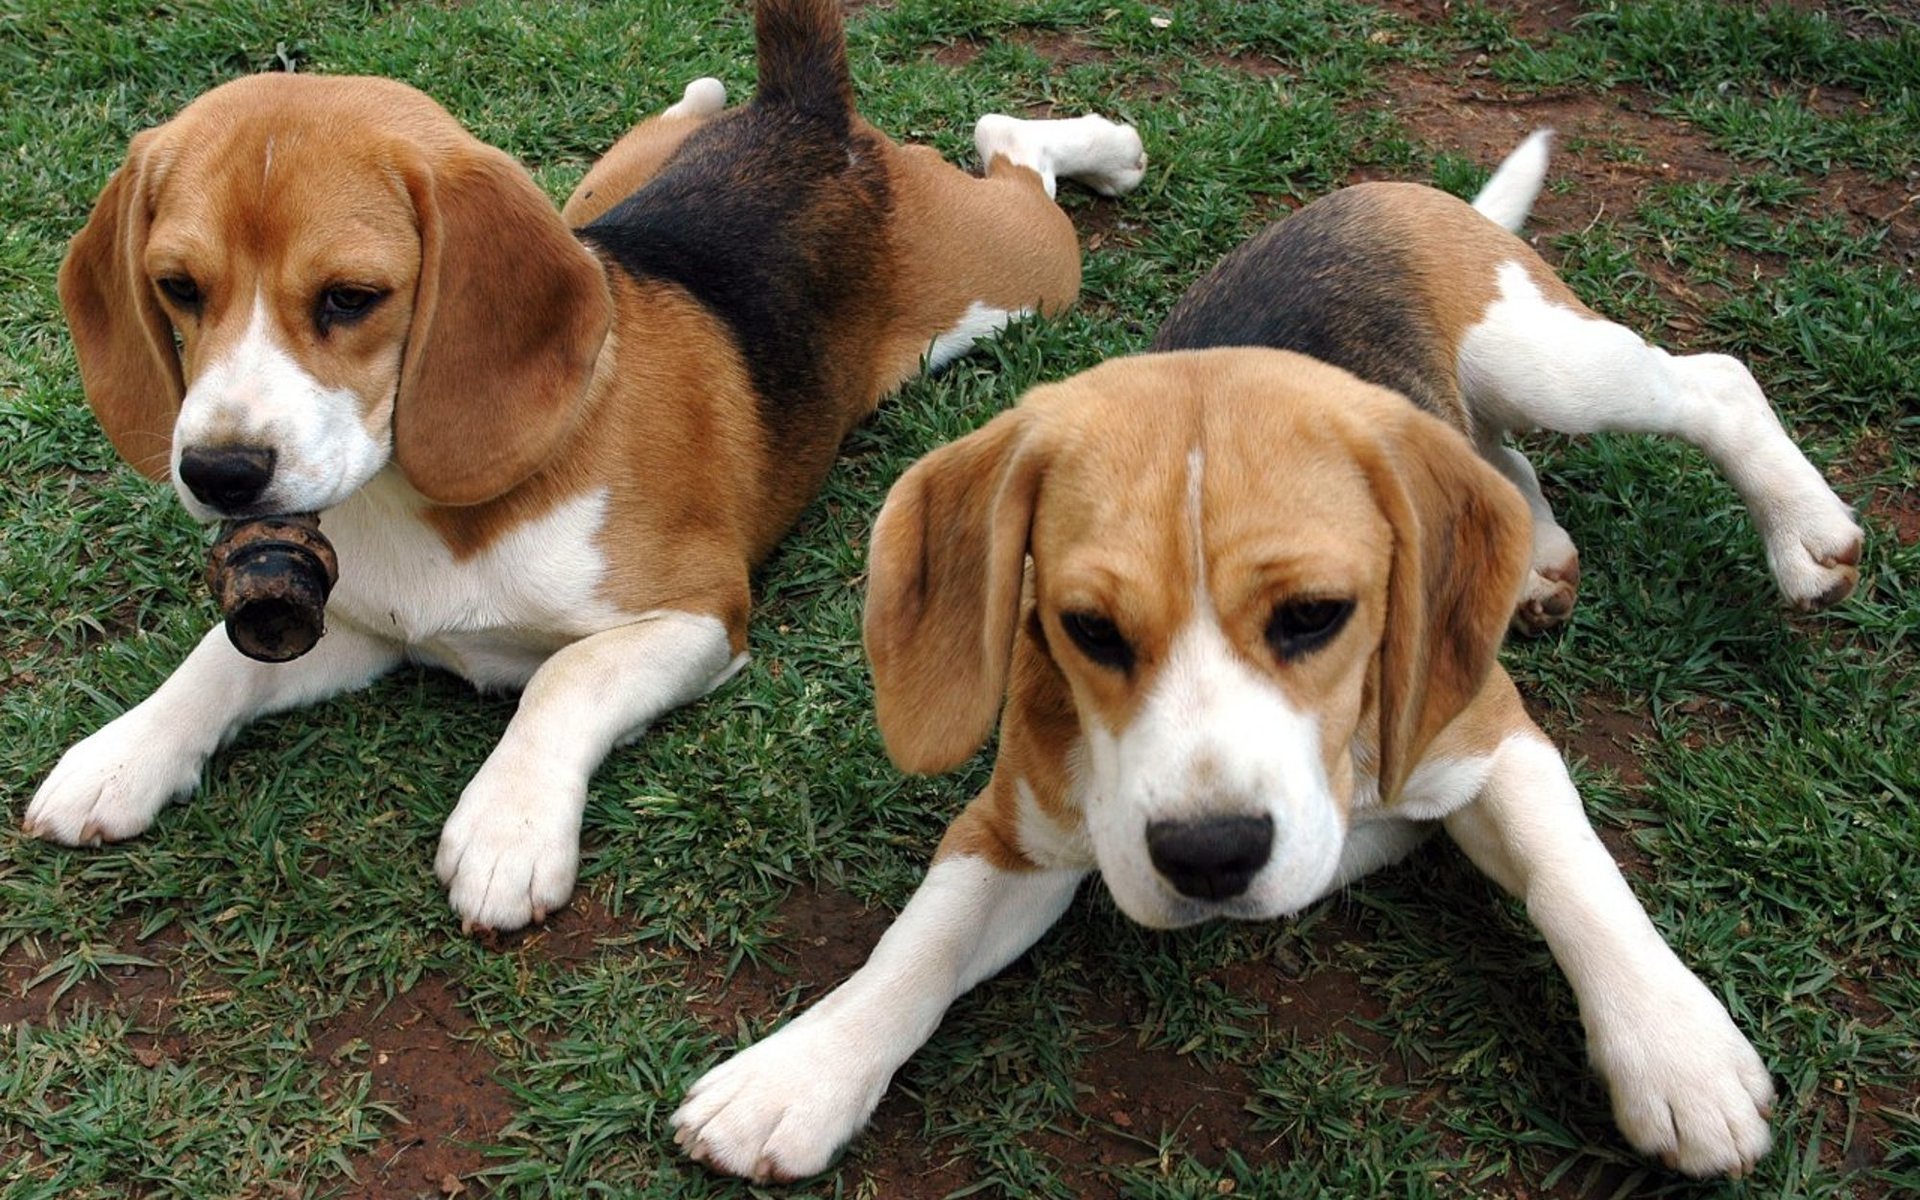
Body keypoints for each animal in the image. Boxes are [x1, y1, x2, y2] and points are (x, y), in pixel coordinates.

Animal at [22, 2, 1144, 936]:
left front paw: (506, 827)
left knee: (1013, 150)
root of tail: (806, 117)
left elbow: (566, 674)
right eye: (178, 287)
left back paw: (1104, 146)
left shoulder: (697, 614)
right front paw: (124, 751)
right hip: (602, 187)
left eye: (350, 298)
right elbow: (222, 658)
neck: (421, 505)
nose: (220, 472)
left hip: (1016, 277)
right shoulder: (362, 629)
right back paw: (701, 94)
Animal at [675, 135, 1827, 1175]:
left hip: (1547, 363)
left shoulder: (1490, 736)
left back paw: (1806, 535)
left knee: (1709, 383)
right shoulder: (1015, 829)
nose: (1210, 854)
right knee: (1497, 463)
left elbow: (1572, 872)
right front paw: (801, 1074)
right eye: (1087, 629)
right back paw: (1537, 554)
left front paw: (1677, 1054)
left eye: (1316, 615)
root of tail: (1398, 195)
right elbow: (920, 944)